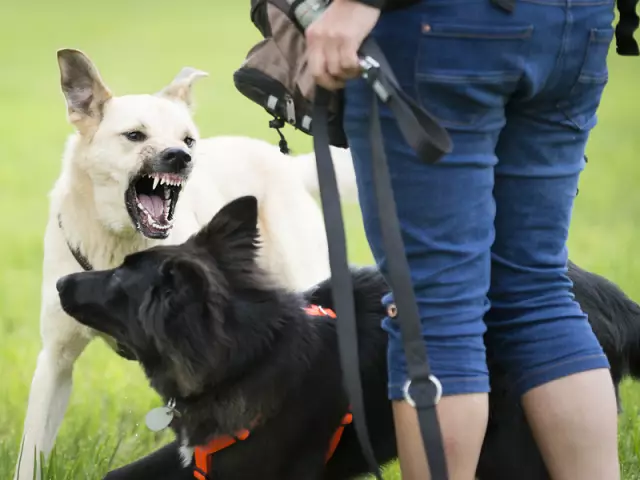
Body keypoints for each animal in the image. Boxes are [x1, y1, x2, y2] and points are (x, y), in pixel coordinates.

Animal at [13, 48, 360, 480]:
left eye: (187, 139)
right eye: (134, 135)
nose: (180, 157)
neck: (117, 244)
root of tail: (281, 162)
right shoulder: (56, 361)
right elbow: (32, 451)